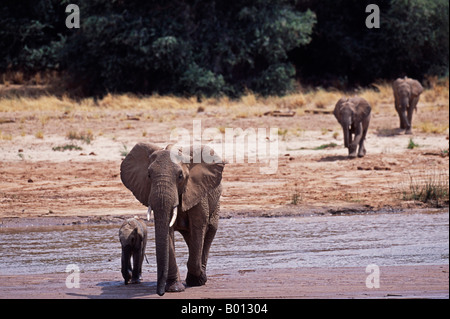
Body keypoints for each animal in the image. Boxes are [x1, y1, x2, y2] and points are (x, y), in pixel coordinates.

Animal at [120, 143, 224, 298]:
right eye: (149, 175)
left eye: (180, 176)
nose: (160, 293)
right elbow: (167, 231)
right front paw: (175, 288)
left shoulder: (197, 192)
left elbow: (199, 227)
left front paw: (197, 280)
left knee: (209, 230)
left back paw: (200, 277)